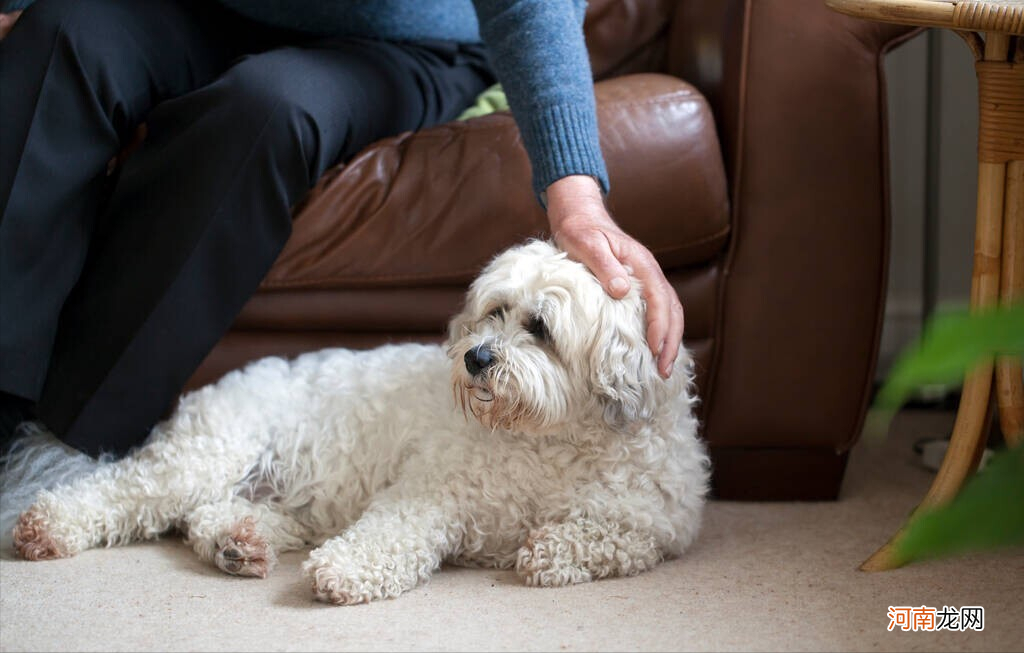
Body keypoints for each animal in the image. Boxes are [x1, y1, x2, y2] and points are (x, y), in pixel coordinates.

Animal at [12, 239, 708, 605]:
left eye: (539, 326)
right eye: (494, 312)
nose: (476, 357)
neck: (548, 440)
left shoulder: (661, 525)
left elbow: (615, 540)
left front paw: (552, 551)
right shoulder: (430, 492)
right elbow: (390, 534)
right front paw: (344, 571)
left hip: (272, 495)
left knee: (204, 518)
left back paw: (240, 542)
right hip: (204, 458)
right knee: (124, 493)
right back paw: (47, 526)